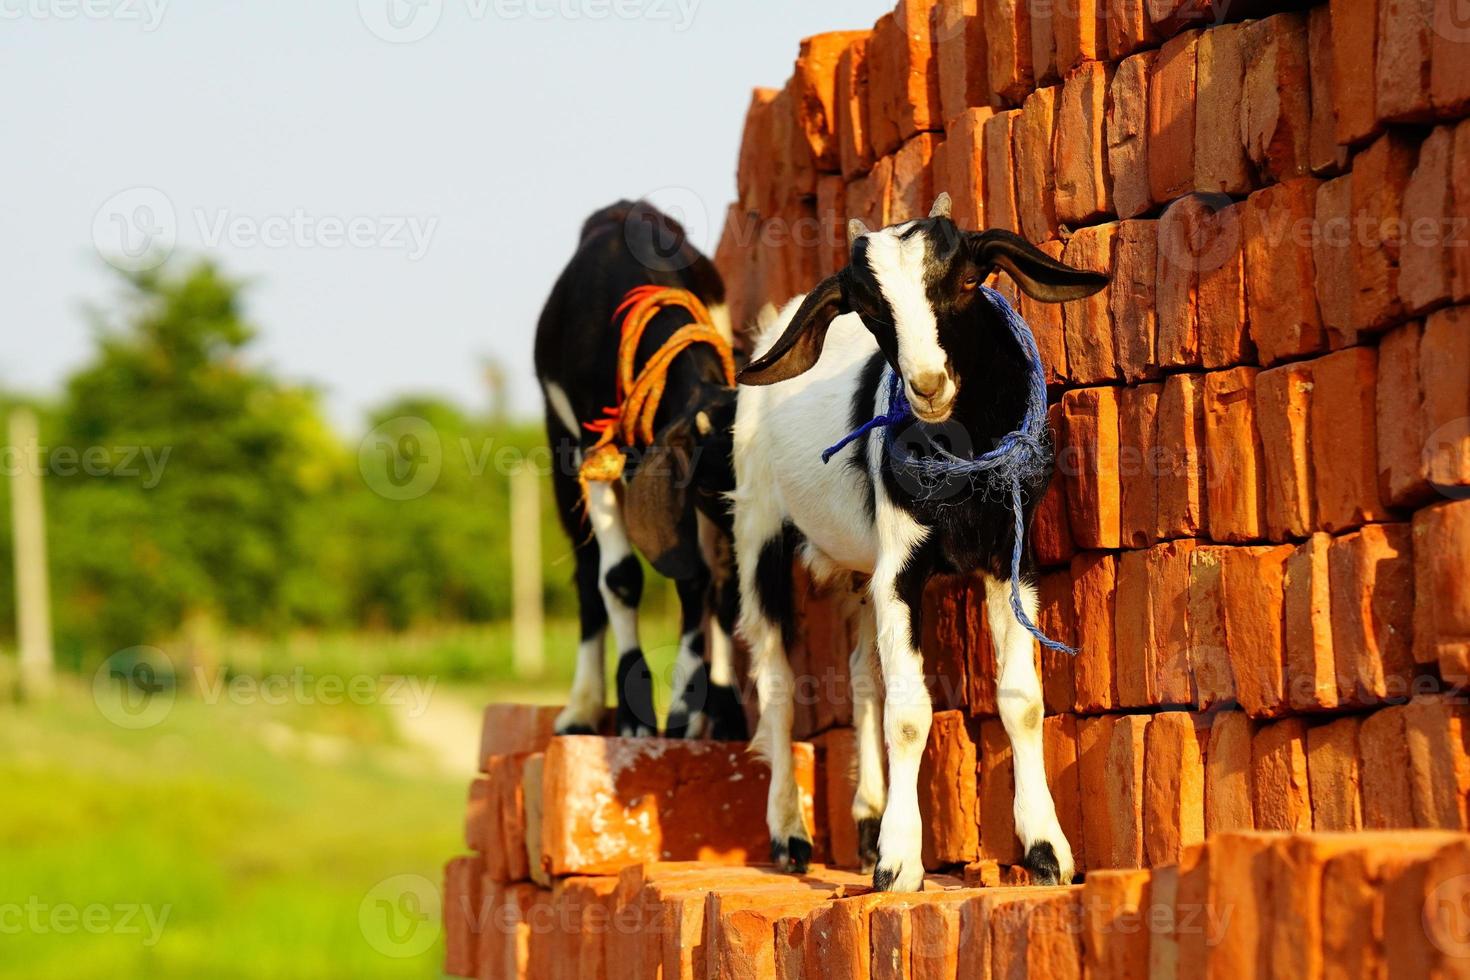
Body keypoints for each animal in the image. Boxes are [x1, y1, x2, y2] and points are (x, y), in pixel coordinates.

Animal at [532, 199, 746, 740]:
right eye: (717, 484)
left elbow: (705, 581)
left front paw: (701, 708)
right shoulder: (594, 451)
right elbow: (621, 578)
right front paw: (636, 716)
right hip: (562, 454)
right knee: (589, 573)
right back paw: (583, 708)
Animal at [735, 196, 1105, 887]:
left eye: (964, 281)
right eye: (869, 308)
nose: (928, 385)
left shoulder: (1010, 563)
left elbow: (1021, 701)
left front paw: (1047, 851)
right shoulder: (900, 572)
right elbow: (909, 714)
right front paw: (899, 863)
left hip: (859, 570)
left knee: (861, 674)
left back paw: (864, 820)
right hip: (757, 527)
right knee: (775, 678)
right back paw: (790, 835)